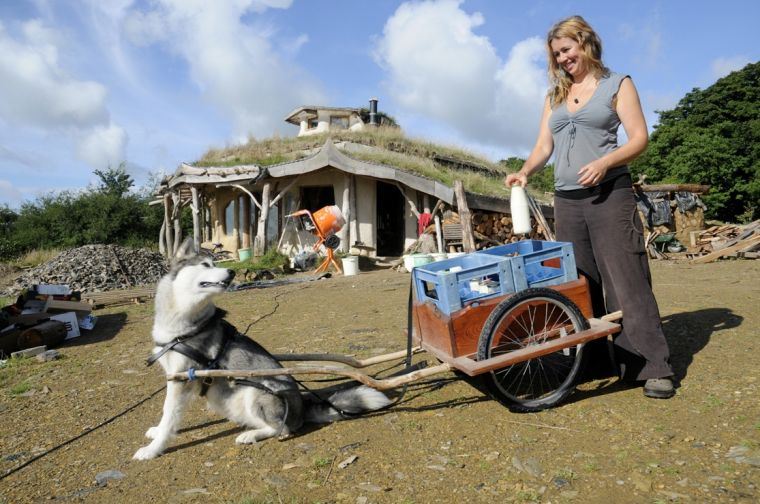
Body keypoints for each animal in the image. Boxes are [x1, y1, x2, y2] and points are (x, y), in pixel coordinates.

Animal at [133, 241, 388, 460]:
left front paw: (153, 449)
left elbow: (170, 415)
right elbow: (167, 413)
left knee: (283, 429)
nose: (231, 273)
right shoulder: (174, 376)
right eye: (206, 265)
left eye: (215, 263)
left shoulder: (182, 379)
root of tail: (302, 408)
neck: (182, 323)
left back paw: (251, 435)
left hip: (256, 392)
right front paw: (157, 432)